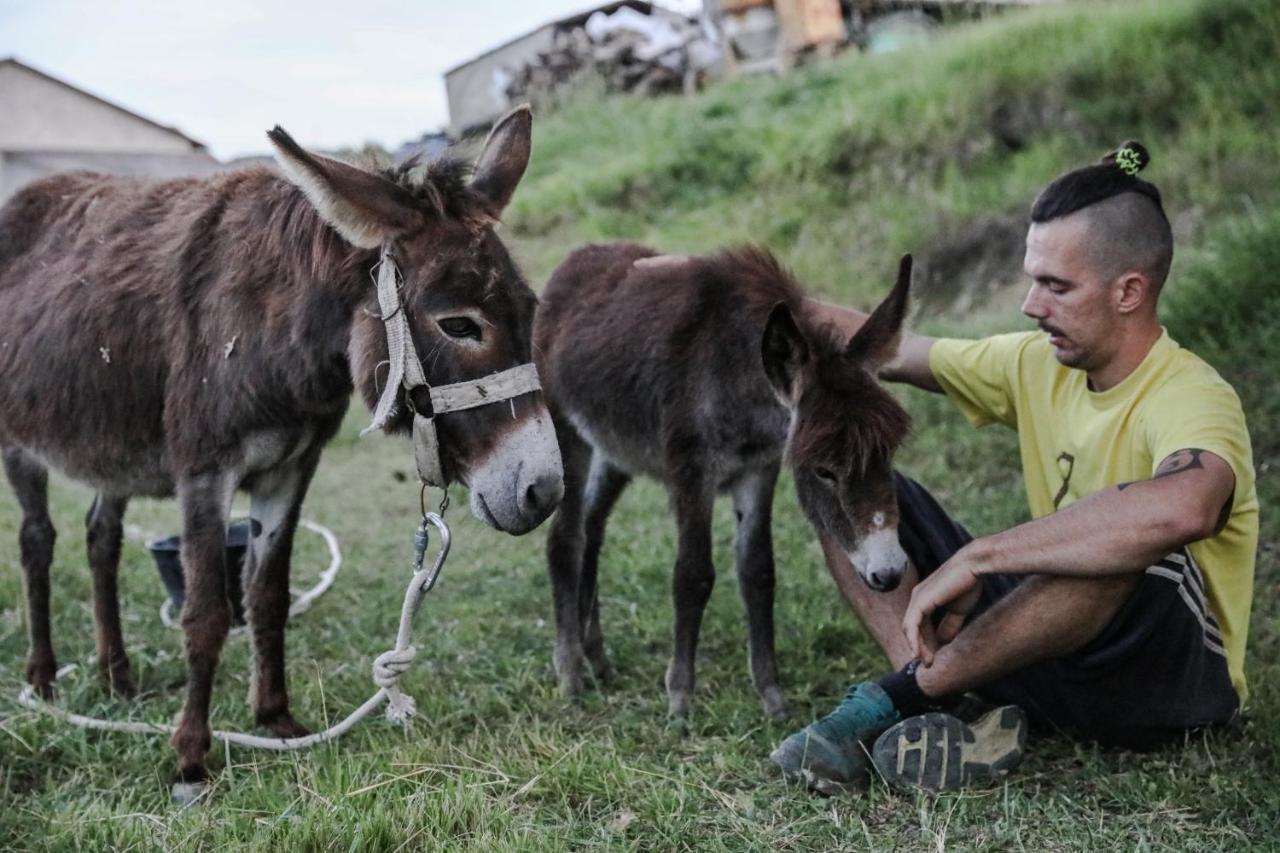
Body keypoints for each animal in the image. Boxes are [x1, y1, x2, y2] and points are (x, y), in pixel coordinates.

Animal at [0, 104, 560, 799]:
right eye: (459, 324)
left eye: (530, 311)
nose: (545, 491)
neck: (277, 325)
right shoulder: (204, 472)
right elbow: (207, 612)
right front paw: (191, 757)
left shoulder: (291, 467)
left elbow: (267, 595)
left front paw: (276, 720)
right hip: (19, 442)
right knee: (37, 541)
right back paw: (45, 678)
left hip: (115, 447)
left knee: (101, 537)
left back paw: (116, 677)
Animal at [535, 244, 916, 717]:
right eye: (824, 471)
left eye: (888, 454)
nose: (890, 573)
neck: (738, 379)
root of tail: (578, 257)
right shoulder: (692, 474)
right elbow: (692, 575)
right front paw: (680, 699)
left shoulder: (758, 471)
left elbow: (758, 572)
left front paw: (772, 695)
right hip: (567, 434)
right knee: (565, 538)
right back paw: (570, 673)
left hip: (615, 450)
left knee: (592, 528)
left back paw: (597, 658)